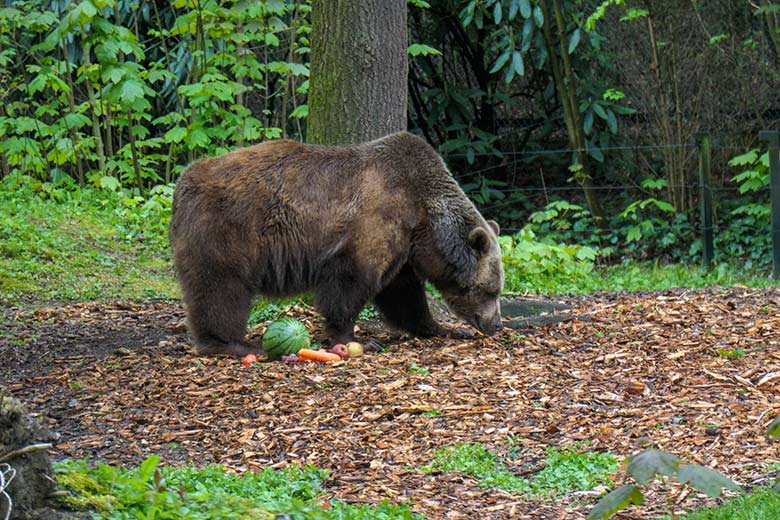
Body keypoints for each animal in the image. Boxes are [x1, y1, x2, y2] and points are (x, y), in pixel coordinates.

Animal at [168, 131, 502, 358]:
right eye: (491, 291)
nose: (496, 323)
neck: (423, 218)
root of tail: (183, 182)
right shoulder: (376, 217)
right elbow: (351, 283)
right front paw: (356, 338)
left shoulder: (403, 246)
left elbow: (402, 292)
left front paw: (442, 328)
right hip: (226, 230)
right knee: (221, 287)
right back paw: (232, 343)